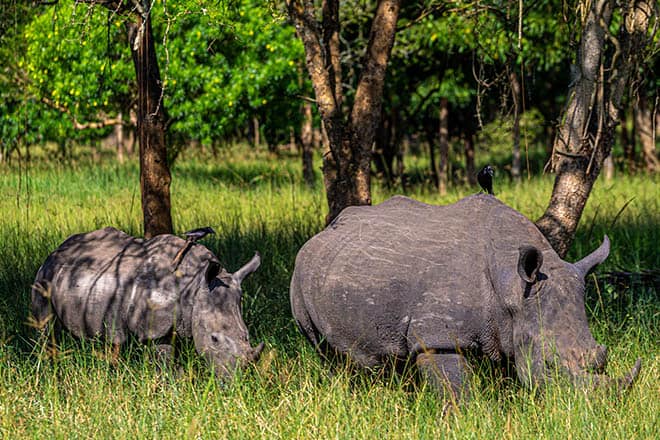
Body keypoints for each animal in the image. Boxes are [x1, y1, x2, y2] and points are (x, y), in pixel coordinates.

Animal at [31, 227, 263, 376]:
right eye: (214, 339)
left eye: (247, 335)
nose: (234, 381)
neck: (195, 286)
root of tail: (57, 249)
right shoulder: (154, 328)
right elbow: (164, 361)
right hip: (45, 275)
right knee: (45, 324)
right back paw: (48, 365)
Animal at [290, 195, 641, 397]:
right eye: (550, 365)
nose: (592, 408)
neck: (511, 287)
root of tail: (323, 231)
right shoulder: (436, 337)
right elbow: (456, 389)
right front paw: (461, 419)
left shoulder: (510, 326)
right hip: (300, 273)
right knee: (323, 349)